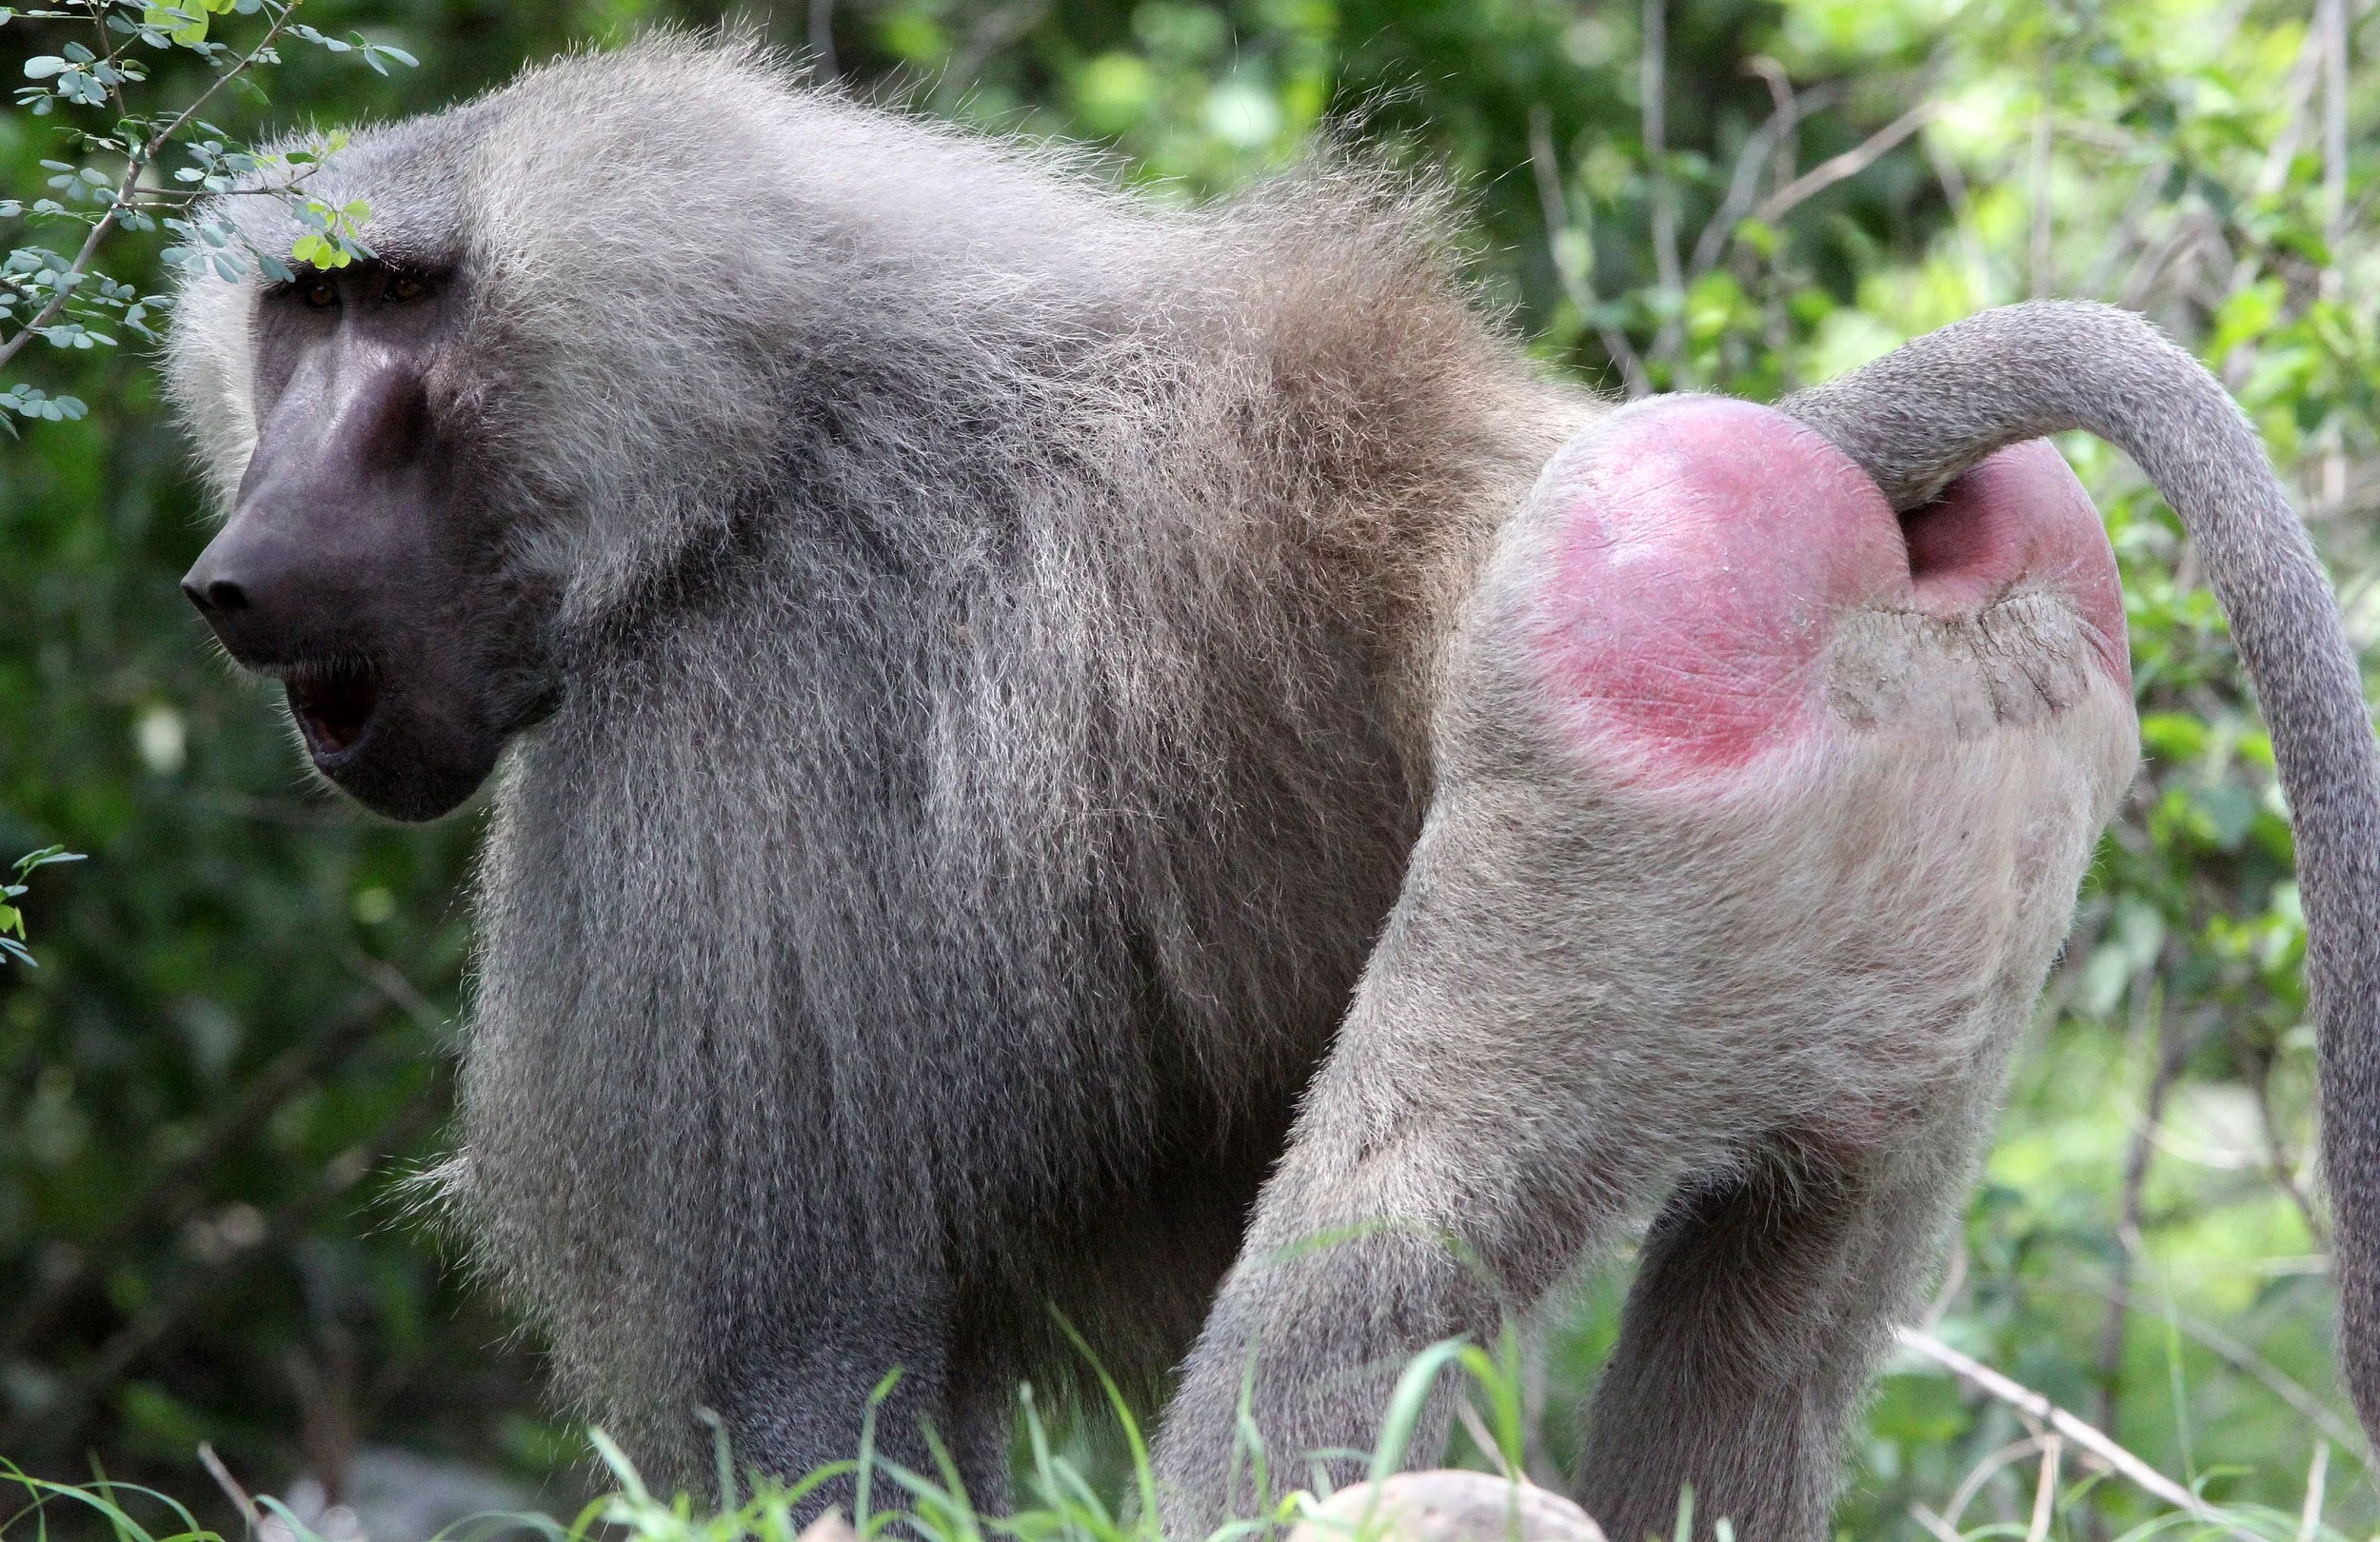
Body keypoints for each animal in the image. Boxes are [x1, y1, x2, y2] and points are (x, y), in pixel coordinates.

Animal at [161, 34, 2379, 1535]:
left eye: (397, 303)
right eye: (299, 310)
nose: (232, 581)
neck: (772, 398)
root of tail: (1834, 452)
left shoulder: (709, 736)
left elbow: (800, 1396)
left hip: (1615, 810)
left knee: (1363, 1279)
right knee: (1769, 1330)